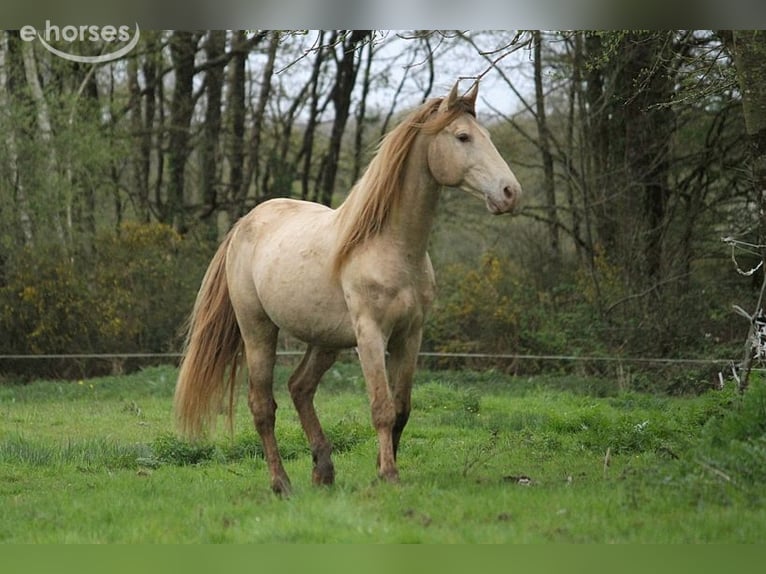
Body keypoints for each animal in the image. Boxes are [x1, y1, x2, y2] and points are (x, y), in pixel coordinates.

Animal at [174, 81, 522, 495]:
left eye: (487, 136)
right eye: (463, 136)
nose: (510, 192)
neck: (390, 246)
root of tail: (245, 223)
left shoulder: (410, 335)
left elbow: (402, 408)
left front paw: (381, 467)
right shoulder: (370, 335)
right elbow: (382, 408)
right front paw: (389, 475)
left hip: (325, 340)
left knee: (300, 388)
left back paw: (323, 471)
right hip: (258, 331)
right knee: (262, 406)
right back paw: (281, 483)